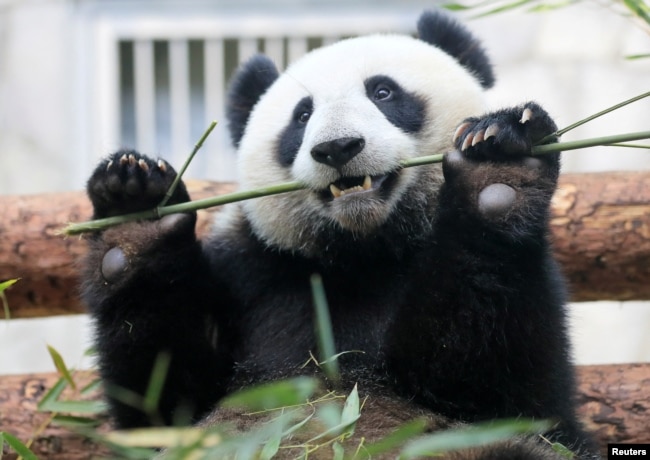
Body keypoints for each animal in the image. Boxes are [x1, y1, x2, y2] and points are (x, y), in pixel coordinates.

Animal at [82, 7, 596, 460]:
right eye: (302, 115)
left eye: (383, 92)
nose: (338, 148)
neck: (362, 249)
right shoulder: (253, 271)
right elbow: (162, 405)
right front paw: (133, 214)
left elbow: (504, 391)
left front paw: (496, 165)